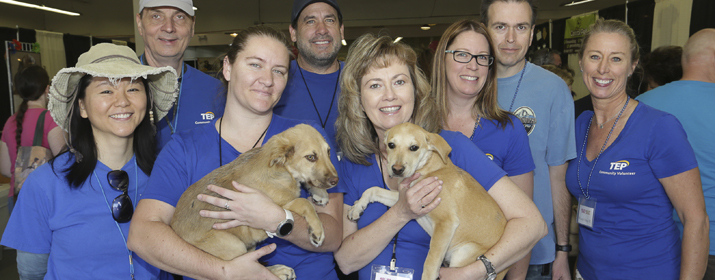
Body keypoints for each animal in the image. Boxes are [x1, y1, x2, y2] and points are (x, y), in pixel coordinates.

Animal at [173, 124, 342, 280]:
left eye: (328, 152)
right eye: (311, 157)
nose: (335, 181)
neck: (282, 170)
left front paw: (320, 193)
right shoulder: (277, 206)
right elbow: (304, 202)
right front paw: (317, 231)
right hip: (233, 245)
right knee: (249, 267)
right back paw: (279, 271)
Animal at [348, 122, 506, 280]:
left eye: (414, 147)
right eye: (391, 145)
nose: (397, 169)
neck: (428, 170)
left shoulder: (446, 222)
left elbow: (430, 261)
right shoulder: (403, 198)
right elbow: (373, 190)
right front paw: (357, 207)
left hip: (463, 252)